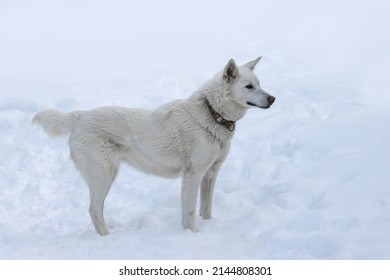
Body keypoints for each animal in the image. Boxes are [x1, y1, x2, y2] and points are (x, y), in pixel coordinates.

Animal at [34, 58, 278, 235]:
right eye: (249, 86)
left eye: (260, 84)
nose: (273, 98)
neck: (212, 114)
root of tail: (81, 116)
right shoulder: (193, 175)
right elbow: (190, 213)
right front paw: (193, 235)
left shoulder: (211, 173)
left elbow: (206, 209)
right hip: (103, 175)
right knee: (94, 210)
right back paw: (107, 237)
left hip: (108, 176)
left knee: (96, 210)